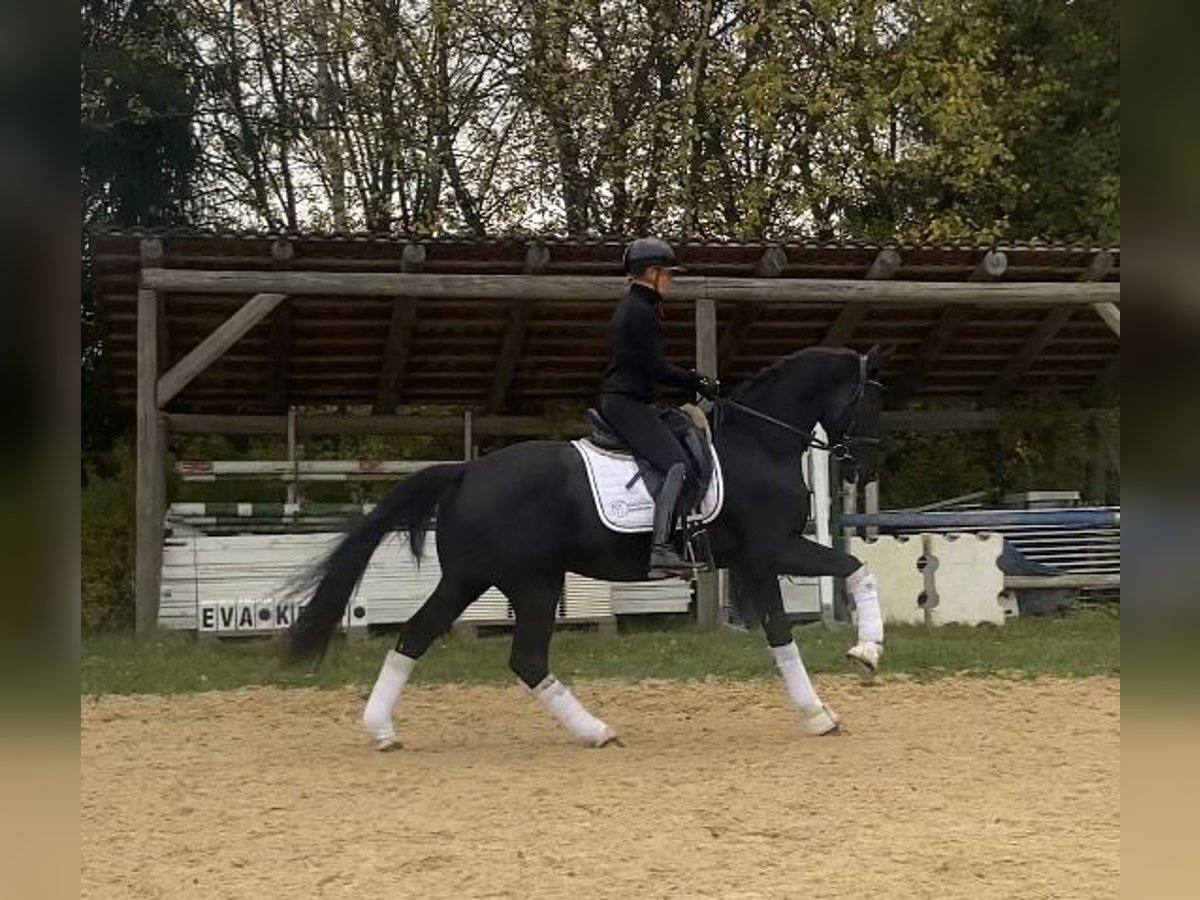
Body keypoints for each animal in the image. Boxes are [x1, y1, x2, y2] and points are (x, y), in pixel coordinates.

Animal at [285, 348, 888, 748]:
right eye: (871, 402)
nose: (865, 466)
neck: (759, 443)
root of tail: (466, 472)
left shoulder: (754, 561)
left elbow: (788, 629)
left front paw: (821, 708)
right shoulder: (772, 549)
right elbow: (850, 574)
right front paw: (864, 655)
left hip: (474, 580)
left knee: (419, 635)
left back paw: (382, 729)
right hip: (530, 582)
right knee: (523, 657)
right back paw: (595, 730)